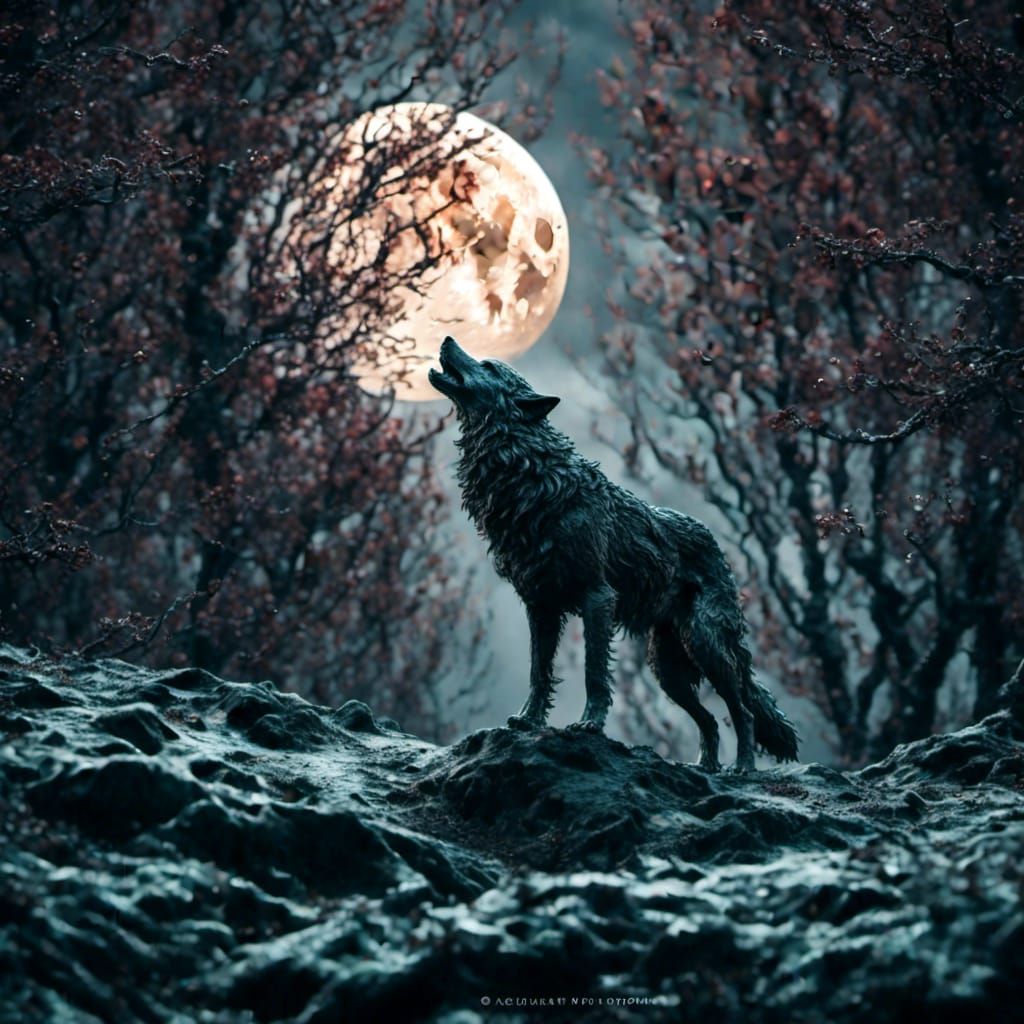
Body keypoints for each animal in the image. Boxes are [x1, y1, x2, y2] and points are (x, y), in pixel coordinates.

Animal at [430, 336, 798, 770]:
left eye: (487, 365)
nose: (447, 339)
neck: (530, 476)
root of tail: (718, 550)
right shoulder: (540, 605)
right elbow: (540, 671)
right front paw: (528, 720)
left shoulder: (597, 598)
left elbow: (594, 673)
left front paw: (589, 725)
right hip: (668, 670)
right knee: (710, 719)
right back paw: (705, 768)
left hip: (705, 645)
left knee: (742, 709)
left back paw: (742, 768)